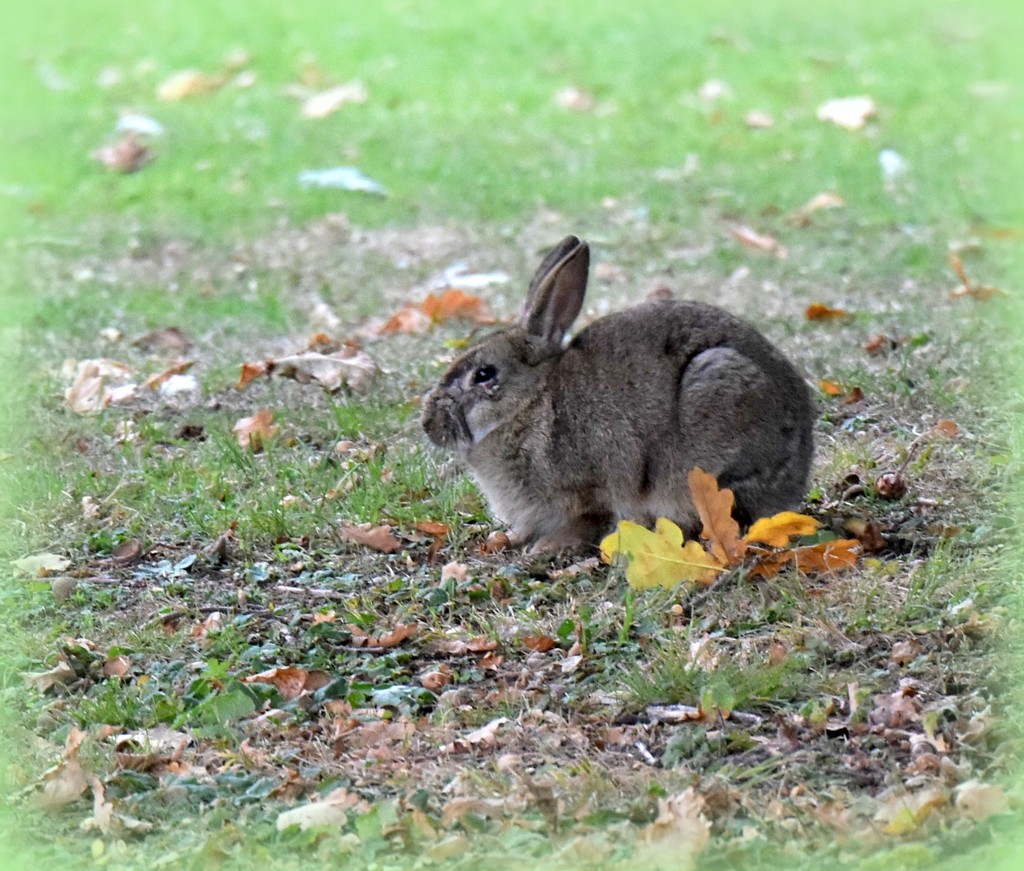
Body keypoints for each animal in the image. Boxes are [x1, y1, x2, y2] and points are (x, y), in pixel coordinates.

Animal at [419, 236, 811, 552]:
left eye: (484, 374)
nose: (428, 424)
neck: (531, 404)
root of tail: (798, 469)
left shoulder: (592, 489)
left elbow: (589, 519)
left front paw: (545, 547)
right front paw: (506, 539)